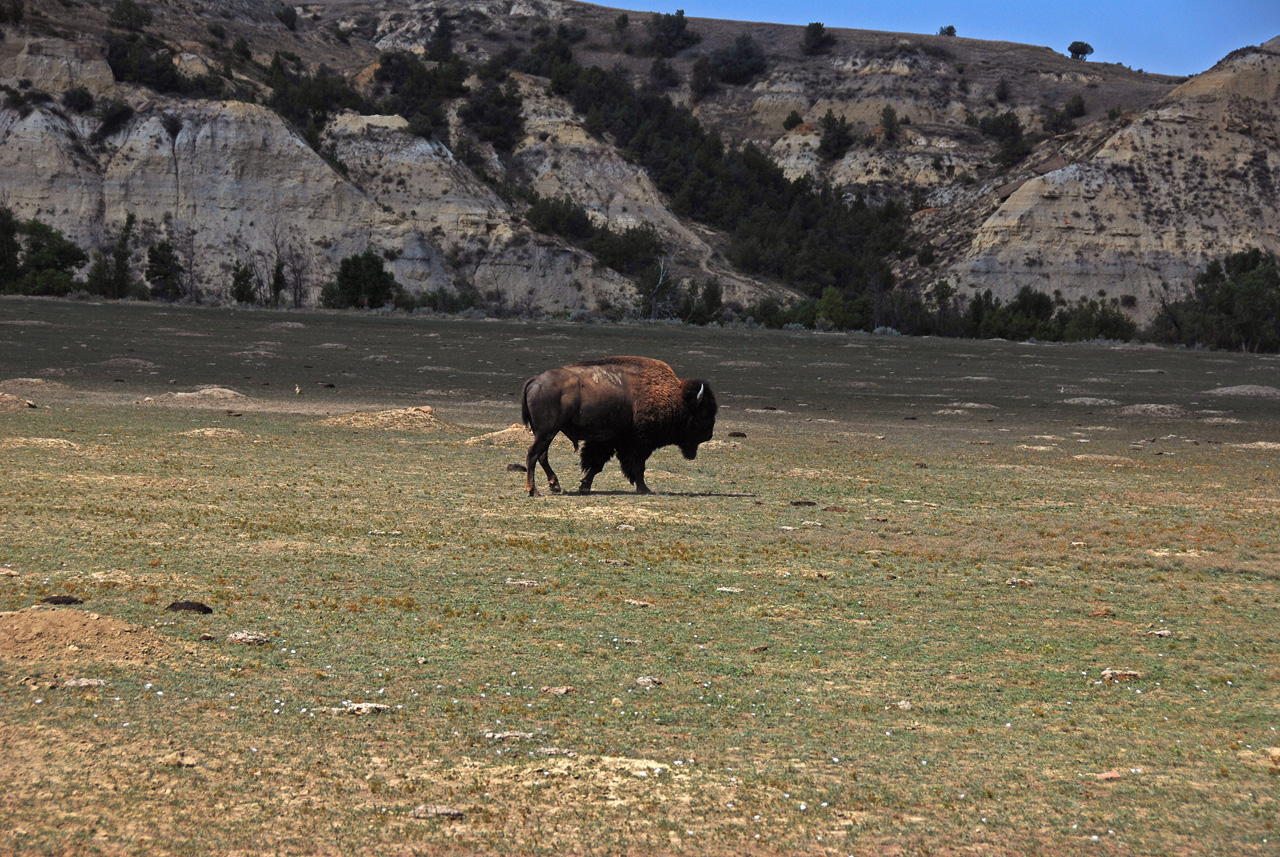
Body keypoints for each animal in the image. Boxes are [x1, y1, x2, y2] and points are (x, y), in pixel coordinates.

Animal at [519, 355, 721, 501]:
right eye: (703, 413)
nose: (708, 434)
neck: (674, 397)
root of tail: (535, 380)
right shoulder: (638, 445)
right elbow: (637, 467)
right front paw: (645, 489)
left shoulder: (609, 441)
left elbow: (597, 464)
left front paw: (584, 486)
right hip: (547, 431)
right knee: (532, 454)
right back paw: (533, 490)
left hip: (544, 432)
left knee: (542, 455)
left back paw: (554, 485)